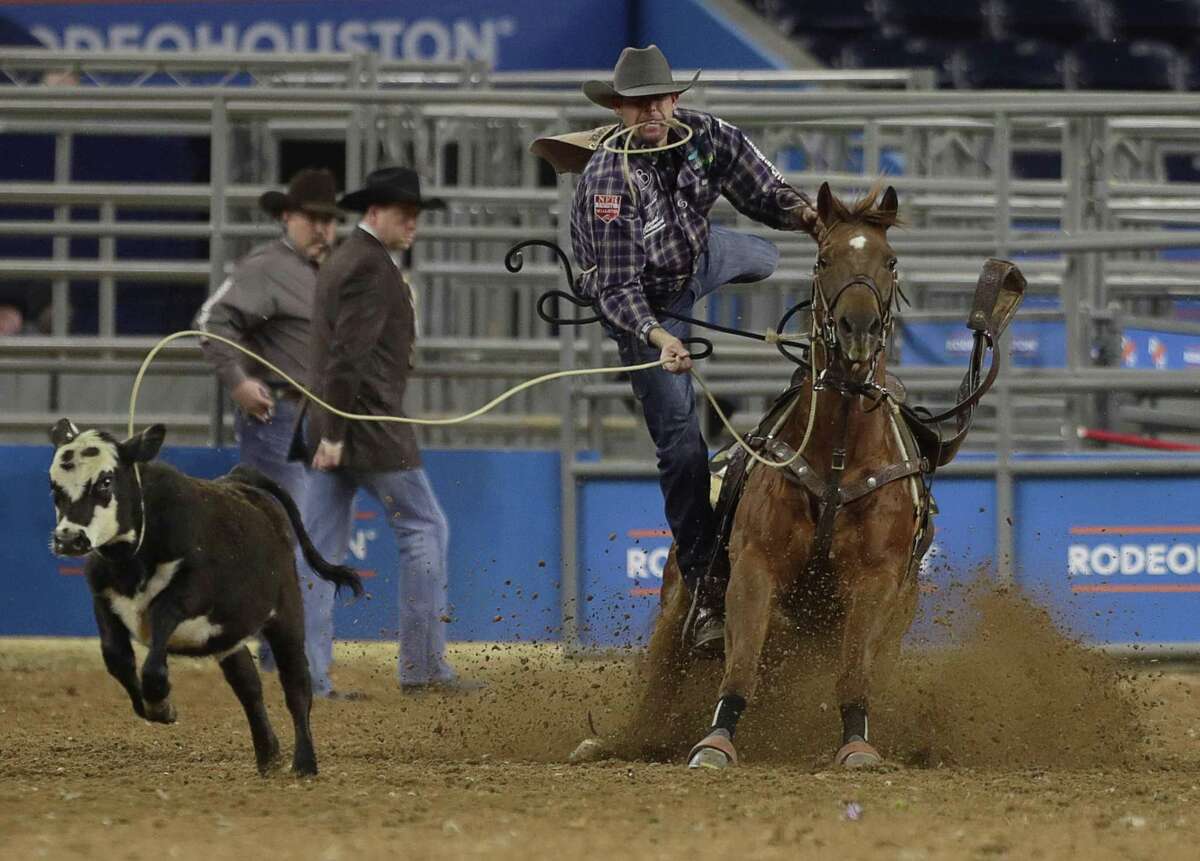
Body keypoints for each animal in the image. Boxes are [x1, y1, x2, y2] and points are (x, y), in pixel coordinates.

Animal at [47, 418, 363, 777]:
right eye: (54, 486)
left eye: (105, 481)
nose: (68, 538)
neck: (135, 558)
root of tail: (238, 481)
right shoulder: (103, 598)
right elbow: (116, 657)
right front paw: (154, 706)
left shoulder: (186, 595)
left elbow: (154, 661)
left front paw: (161, 703)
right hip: (228, 635)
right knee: (248, 685)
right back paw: (268, 754)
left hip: (286, 616)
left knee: (296, 685)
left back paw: (305, 763)